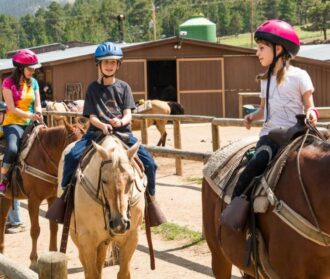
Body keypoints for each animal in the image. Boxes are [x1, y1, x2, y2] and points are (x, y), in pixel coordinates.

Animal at [0, 122, 84, 270]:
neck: (43, 158)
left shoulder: (52, 198)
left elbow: (54, 227)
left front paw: (53, 252)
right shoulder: (34, 200)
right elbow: (35, 230)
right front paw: (33, 261)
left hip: (6, 197)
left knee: (2, 220)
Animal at [58, 135, 146, 278]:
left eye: (132, 180)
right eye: (104, 180)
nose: (119, 224)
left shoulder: (132, 238)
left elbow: (123, 273)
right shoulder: (86, 240)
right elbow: (91, 273)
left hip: (103, 241)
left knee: (100, 262)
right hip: (76, 235)